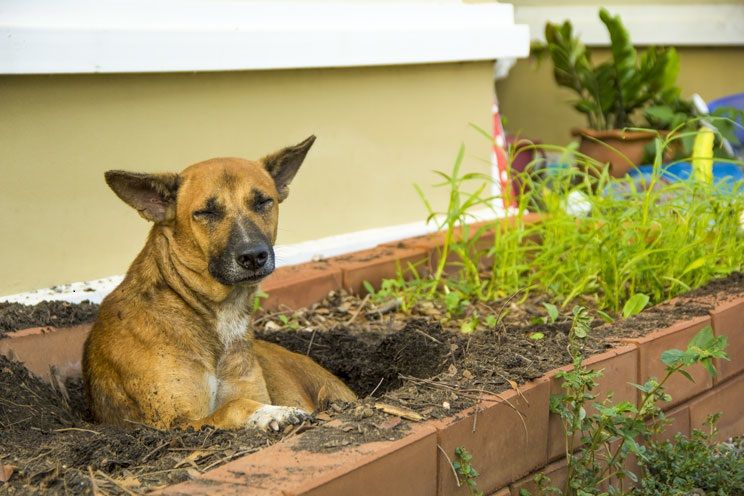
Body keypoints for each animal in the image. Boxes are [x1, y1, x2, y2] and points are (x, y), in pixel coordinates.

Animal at [83, 136, 356, 430]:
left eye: (263, 202)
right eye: (206, 212)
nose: (253, 256)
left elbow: (239, 399)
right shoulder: (178, 423)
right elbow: (233, 406)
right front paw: (272, 413)